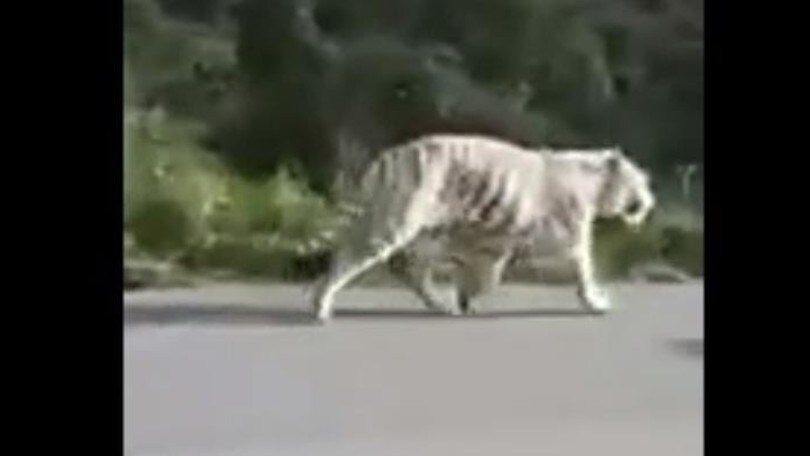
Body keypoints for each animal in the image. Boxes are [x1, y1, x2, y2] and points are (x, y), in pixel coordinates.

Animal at [309, 133, 656, 323]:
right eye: (642, 180)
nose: (650, 201)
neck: (594, 185)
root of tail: (387, 158)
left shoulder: (487, 237)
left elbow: (481, 270)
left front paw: (466, 299)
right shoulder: (565, 237)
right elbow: (583, 269)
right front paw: (598, 302)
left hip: (423, 226)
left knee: (409, 267)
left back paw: (441, 304)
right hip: (400, 217)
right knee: (360, 256)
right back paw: (321, 304)